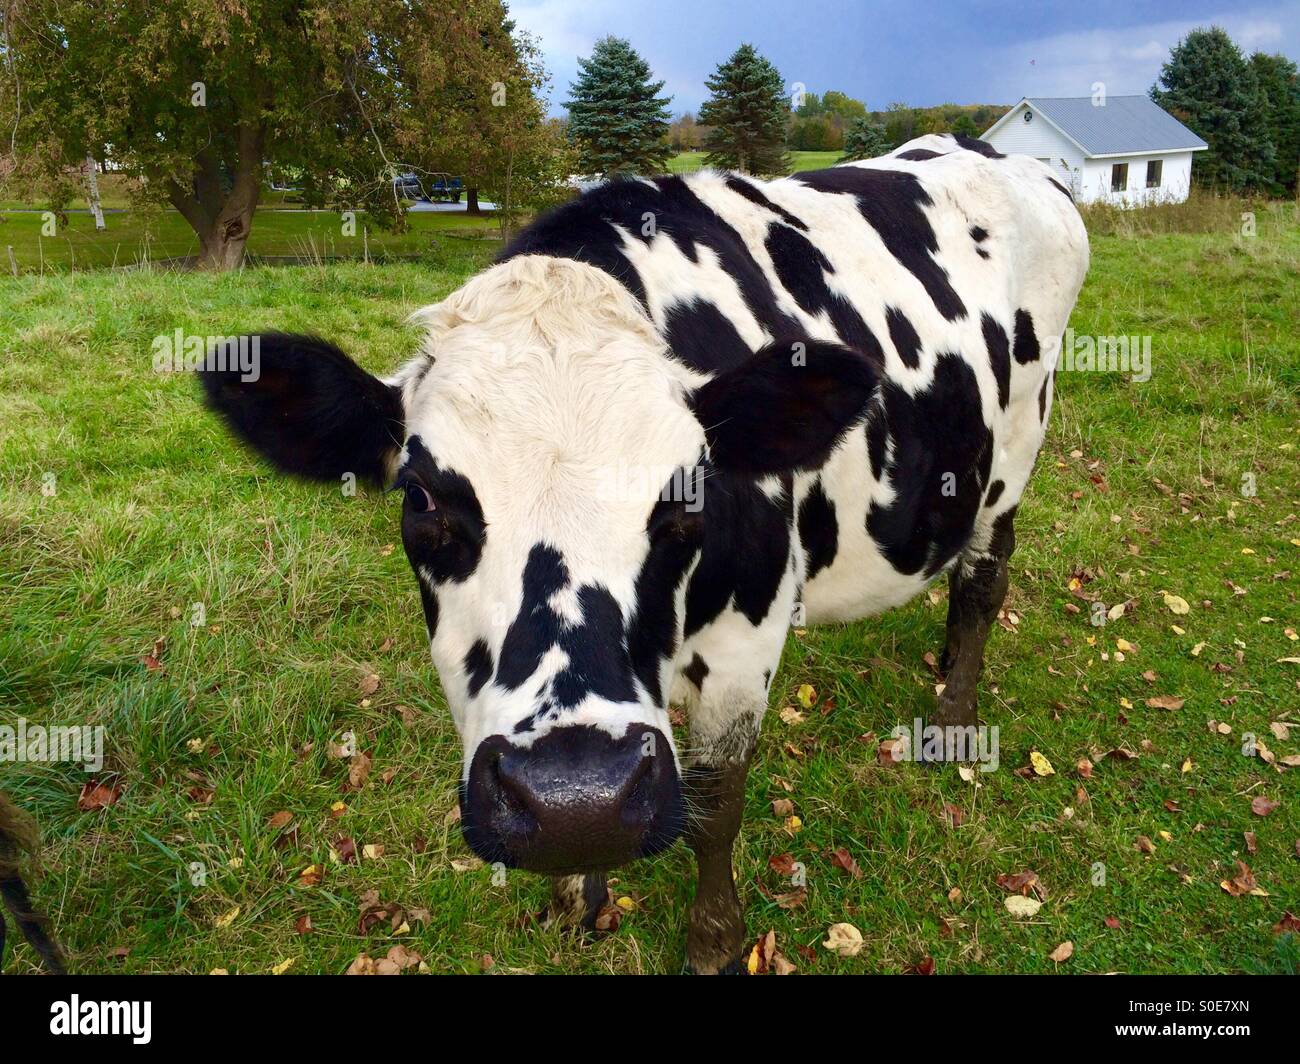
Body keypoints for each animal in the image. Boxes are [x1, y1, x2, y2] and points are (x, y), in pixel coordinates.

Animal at [202, 132, 1092, 967]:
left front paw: (715, 941)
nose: (576, 798)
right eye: (421, 497)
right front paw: (575, 896)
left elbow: (714, 803)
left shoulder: (746, 640)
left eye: (689, 490)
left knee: (983, 578)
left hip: (1013, 451)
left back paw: (954, 717)